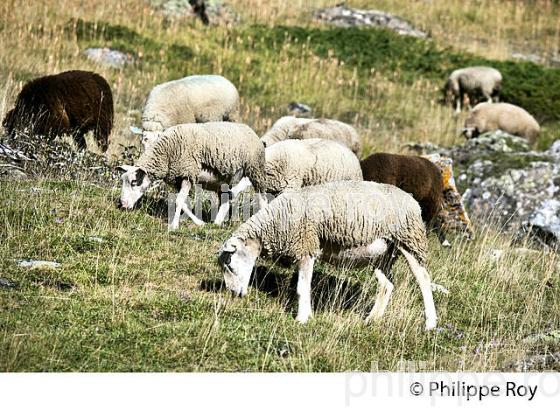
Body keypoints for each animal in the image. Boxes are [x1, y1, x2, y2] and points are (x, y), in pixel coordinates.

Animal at [117, 121, 264, 231]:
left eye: (134, 182)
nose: (123, 205)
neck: (167, 152)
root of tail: (249, 128)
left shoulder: (187, 174)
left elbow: (178, 201)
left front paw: (174, 225)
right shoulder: (179, 179)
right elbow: (183, 203)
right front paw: (200, 223)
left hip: (255, 170)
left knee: (262, 196)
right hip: (223, 180)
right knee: (226, 199)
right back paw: (216, 223)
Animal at [218, 181, 438, 332]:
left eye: (230, 265)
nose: (233, 294)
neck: (276, 221)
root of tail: (413, 202)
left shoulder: (306, 245)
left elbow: (301, 287)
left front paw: (302, 318)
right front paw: (307, 315)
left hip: (409, 240)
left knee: (423, 279)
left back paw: (430, 323)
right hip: (383, 254)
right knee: (387, 285)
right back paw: (372, 319)